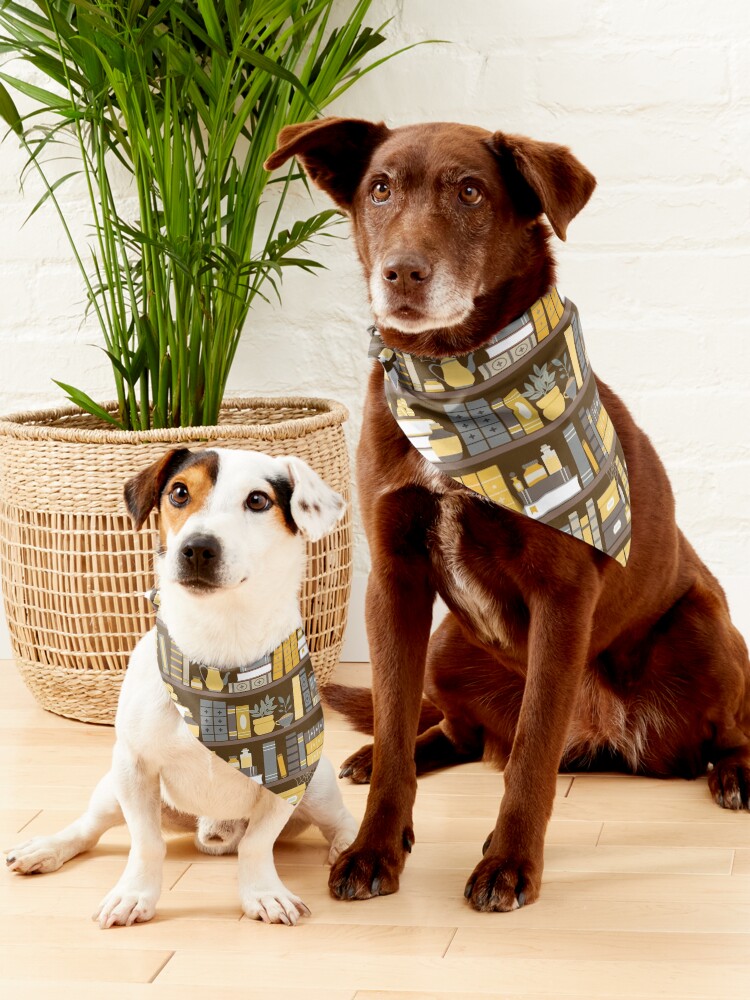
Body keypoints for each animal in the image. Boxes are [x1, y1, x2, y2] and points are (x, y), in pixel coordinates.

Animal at [5, 450, 358, 924]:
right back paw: (46, 848)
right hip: (112, 789)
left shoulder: (289, 778)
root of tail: (213, 829)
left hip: (317, 787)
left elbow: (257, 844)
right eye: (179, 492)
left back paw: (350, 849)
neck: (217, 640)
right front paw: (134, 894)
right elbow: (146, 843)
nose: (198, 547)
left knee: (340, 820)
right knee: (89, 828)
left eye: (258, 500)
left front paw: (263, 893)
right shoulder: (133, 766)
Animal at [266, 121, 750, 912]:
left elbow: (530, 753)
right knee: (454, 730)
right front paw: (374, 847)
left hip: (703, 632)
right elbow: (397, 722)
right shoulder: (393, 581)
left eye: (470, 191)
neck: (454, 377)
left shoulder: (562, 597)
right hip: (448, 647)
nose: (402, 273)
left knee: (729, 725)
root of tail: (611, 740)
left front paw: (508, 863)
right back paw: (380, 754)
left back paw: (735, 773)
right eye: (380, 188)